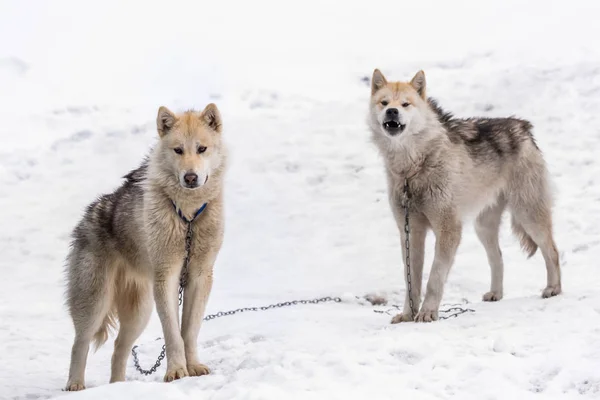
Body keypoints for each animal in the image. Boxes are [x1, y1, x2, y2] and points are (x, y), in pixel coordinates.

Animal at [64, 104, 226, 390]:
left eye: (202, 149)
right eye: (178, 150)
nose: (190, 177)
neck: (188, 218)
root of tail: (87, 215)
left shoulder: (200, 276)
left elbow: (190, 331)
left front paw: (194, 367)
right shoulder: (167, 277)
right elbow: (173, 334)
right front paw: (176, 372)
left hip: (140, 312)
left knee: (119, 348)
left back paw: (118, 388)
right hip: (96, 302)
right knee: (79, 343)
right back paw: (75, 387)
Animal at [368, 69, 560, 324]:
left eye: (405, 104)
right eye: (384, 102)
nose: (392, 111)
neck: (413, 167)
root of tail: (522, 126)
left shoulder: (449, 229)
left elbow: (435, 277)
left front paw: (428, 313)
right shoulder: (410, 232)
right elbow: (411, 281)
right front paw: (408, 315)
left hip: (528, 216)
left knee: (553, 251)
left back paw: (553, 289)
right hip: (483, 228)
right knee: (498, 258)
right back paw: (495, 294)